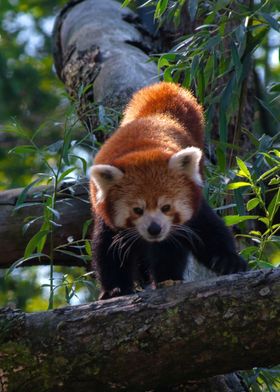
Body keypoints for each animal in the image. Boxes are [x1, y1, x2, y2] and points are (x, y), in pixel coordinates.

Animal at [89, 81, 247, 298]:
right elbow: (108, 250)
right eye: (137, 210)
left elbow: (202, 231)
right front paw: (115, 289)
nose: (154, 229)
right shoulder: (106, 216)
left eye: (166, 207)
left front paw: (228, 262)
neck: (143, 150)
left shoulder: (189, 205)